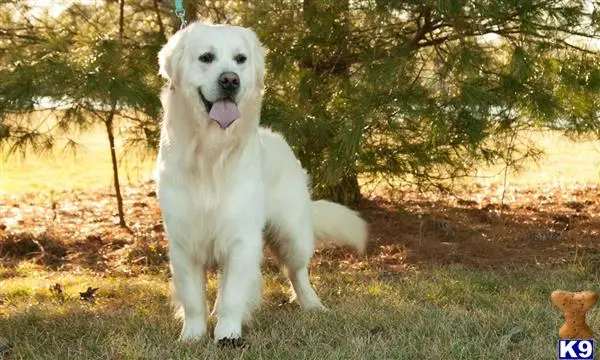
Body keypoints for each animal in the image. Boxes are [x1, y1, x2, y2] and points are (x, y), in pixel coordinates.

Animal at [155, 21, 368, 344]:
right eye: (206, 57)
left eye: (240, 59)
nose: (230, 80)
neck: (210, 153)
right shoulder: (183, 240)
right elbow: (193, 298)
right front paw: (192, 336)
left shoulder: (241, 238)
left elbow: (233, 294)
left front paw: (227, 334)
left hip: (293, 235)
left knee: (298, 273)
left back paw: (313, 305)